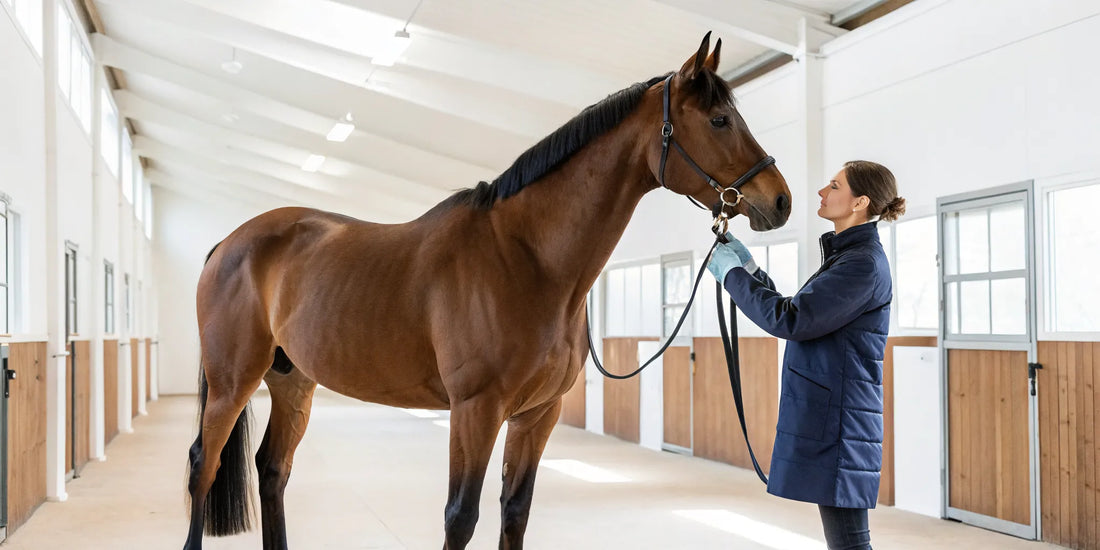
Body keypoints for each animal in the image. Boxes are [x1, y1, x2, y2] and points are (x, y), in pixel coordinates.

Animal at [183, 33, 791, 550]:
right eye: (719, 120)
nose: (780, 200)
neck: (528, 258)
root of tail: (228, 243)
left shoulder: (537, 415)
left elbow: (514, 511)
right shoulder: (476, 409)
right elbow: (462, 515)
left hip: (293, 381)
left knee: (271, 471)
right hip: (233, 383)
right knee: (202, 466)